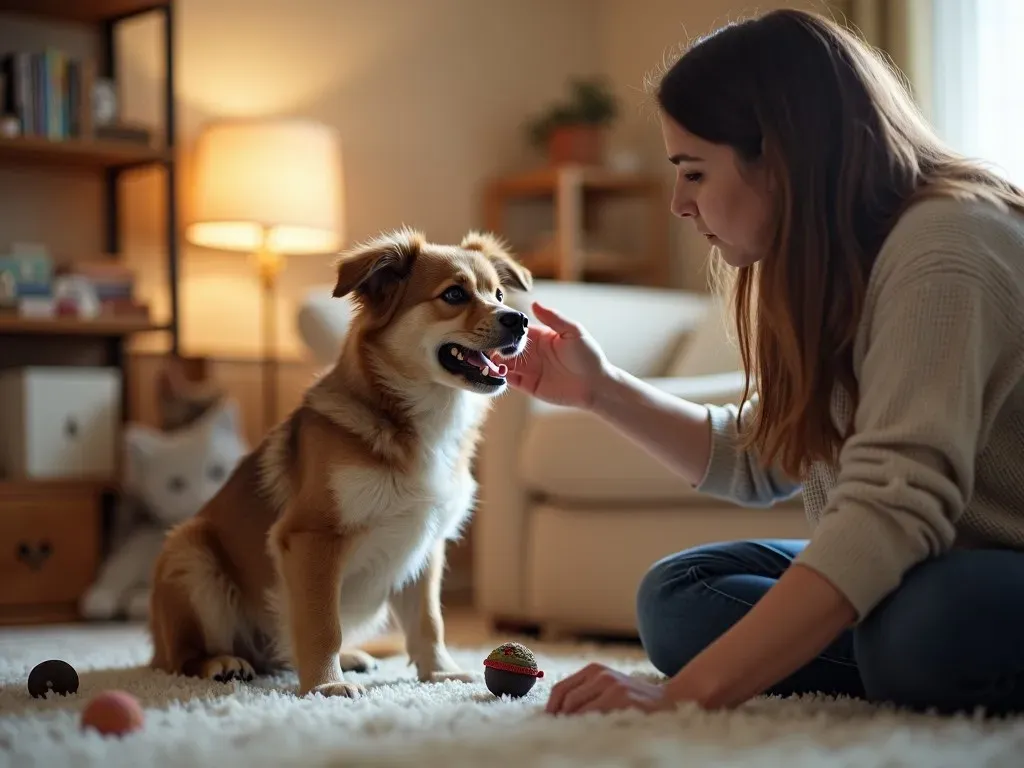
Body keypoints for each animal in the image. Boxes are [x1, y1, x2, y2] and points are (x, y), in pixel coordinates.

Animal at [149, 227, 536, 696]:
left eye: (498, 294)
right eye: (455, 294)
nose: (519, 320)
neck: (415, 422)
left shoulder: (425, 545)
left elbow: (429, 621)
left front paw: (439, 672)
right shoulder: (312, 536)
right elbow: (321, 624)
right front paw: (325, 686)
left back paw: (348, 657)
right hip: (189, 554)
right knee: (183, 658)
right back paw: (222, 662)